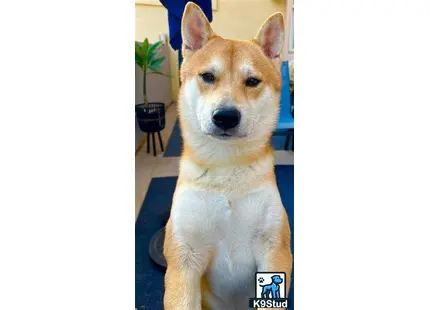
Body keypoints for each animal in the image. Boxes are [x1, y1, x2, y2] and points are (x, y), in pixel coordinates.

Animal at [163, 3, 294, 310]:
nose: (225, 116)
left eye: (252, 81)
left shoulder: (275, 250)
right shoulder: (184, 257)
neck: (226, 169)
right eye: (208, 76)